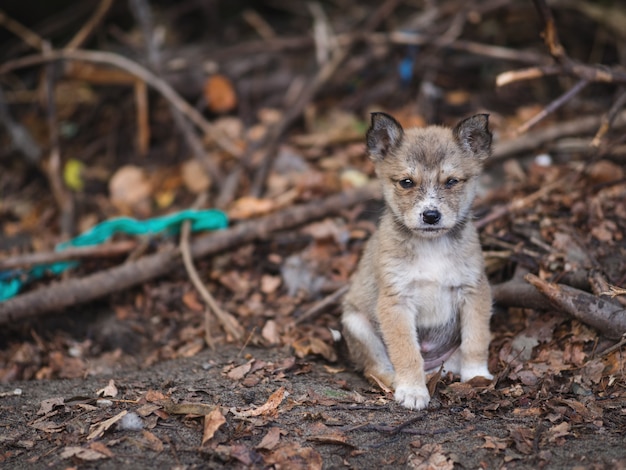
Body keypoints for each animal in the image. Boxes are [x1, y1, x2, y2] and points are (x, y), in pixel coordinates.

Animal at [342, 112, 492, 410]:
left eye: (452, 181)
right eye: (406, 182)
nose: (431, 215)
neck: (431, 247)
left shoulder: (474, 290)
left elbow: (476, 339)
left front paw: (476, 375)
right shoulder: (396, 301)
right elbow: (406, 351)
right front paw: (412, 389)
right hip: (357, 324)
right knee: (374, 368)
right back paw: (396, 381)